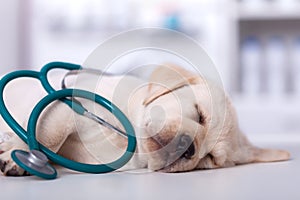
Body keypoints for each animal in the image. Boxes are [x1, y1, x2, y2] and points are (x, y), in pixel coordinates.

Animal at [0, 64, 290, 175]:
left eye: (210, 159)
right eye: (200, 114)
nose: (188, 148)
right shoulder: (67, 106)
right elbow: (48, 134)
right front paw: (20, 152)